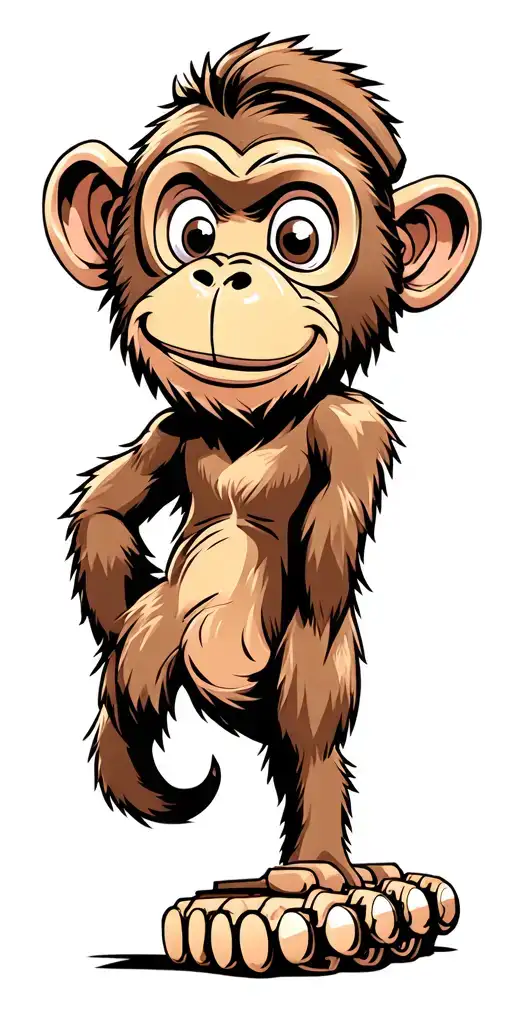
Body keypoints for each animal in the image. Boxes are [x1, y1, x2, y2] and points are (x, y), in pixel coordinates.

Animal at [43, 36, 480, 972]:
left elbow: (321, 602)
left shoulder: (352, 428)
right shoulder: (175, 426)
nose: (222, 270)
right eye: (192, 230)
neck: (254, 424)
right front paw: (121, 627)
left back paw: (318, 881)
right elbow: (107, 509)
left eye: (299, 237)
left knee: (311, 712)